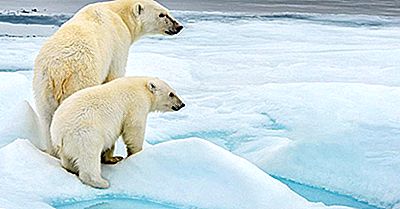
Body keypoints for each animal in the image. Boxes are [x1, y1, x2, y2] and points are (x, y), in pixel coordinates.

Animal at [32, 0, 183, 154]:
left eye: (167, 12)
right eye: (162, 14)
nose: (179, 26)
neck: (117, 12)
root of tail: (58, 71)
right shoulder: (119, 42)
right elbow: (115, 75)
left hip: (43, 86)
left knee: (47, 119)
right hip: (80, 79)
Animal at [49, 76, 184, 188]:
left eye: (174, 91)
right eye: (171, 94)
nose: (182, 104)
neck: (141, 86)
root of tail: (59, 132)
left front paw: (114, 158)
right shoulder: (136, 104)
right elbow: (134, 129)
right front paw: (136, 153)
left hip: (66, 145)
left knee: (68, 159)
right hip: (85, 134)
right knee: (89, 156)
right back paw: (101, 182)